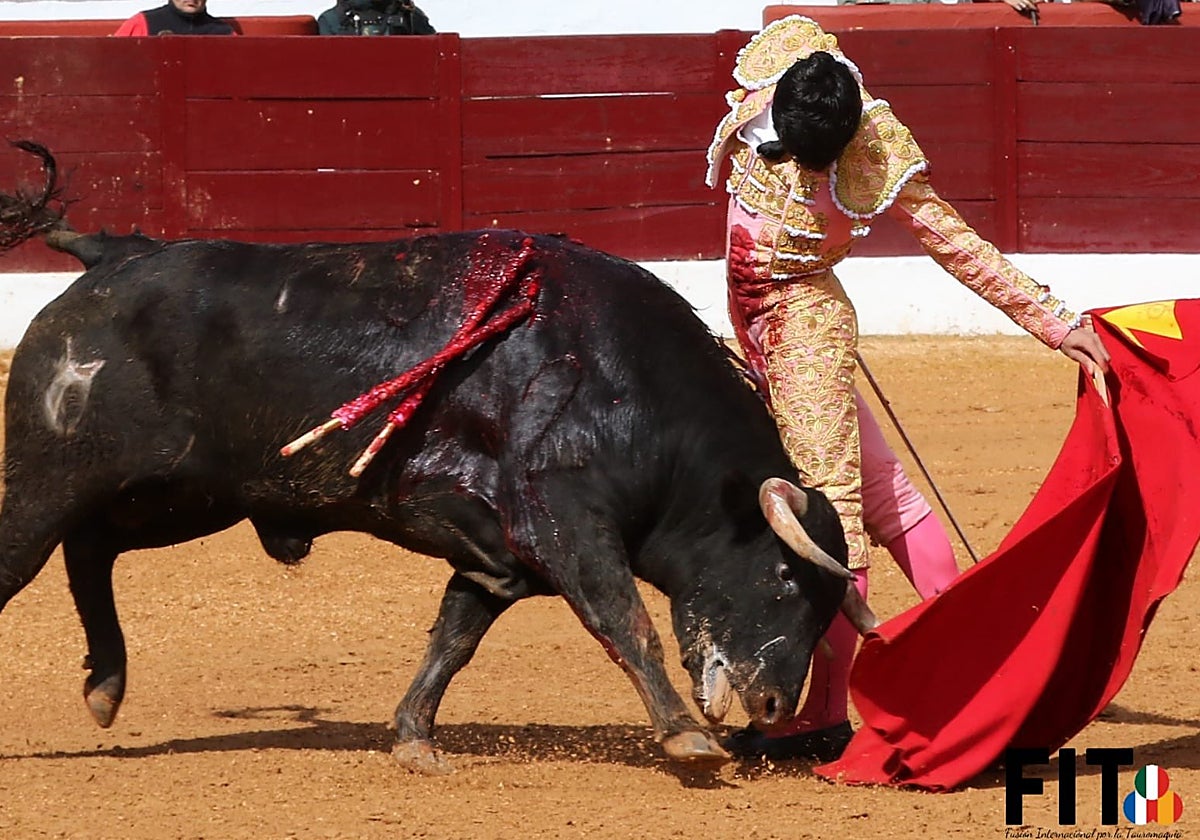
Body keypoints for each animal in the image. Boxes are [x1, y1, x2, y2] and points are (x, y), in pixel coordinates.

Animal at [0, 142, 875, 773]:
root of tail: (110, 256)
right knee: (40, 553)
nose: (775, 708)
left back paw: (105, 686)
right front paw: (684, 738)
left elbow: (455, 638)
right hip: (52, 480)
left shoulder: (500, 557)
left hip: (183, 496)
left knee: (92, 548)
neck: (623, 386)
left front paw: (415, 739)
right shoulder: (567, 525)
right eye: (785, 578)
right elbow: (624, 619)